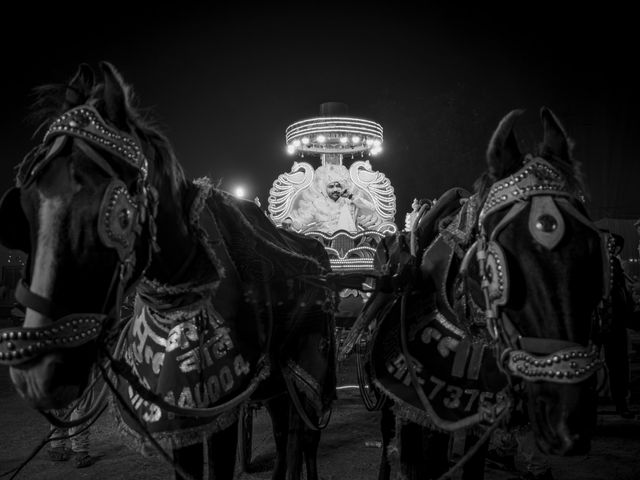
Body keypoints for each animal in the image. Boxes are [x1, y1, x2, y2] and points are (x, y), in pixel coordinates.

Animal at [0, 62, 338, 480]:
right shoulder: (182, 414)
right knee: (285, 434)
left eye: (117, 214)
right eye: (25, 205)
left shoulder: (223, 408)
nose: (36, 373)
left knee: (305, 438)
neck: (185, 291)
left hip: (310, 370)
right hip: (278, 383)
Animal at [350, 107, 604, 478]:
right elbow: (418, 462)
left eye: (594, 251)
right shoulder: (413, 406)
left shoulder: (479, 413)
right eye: (494, 269)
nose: (568, 423)